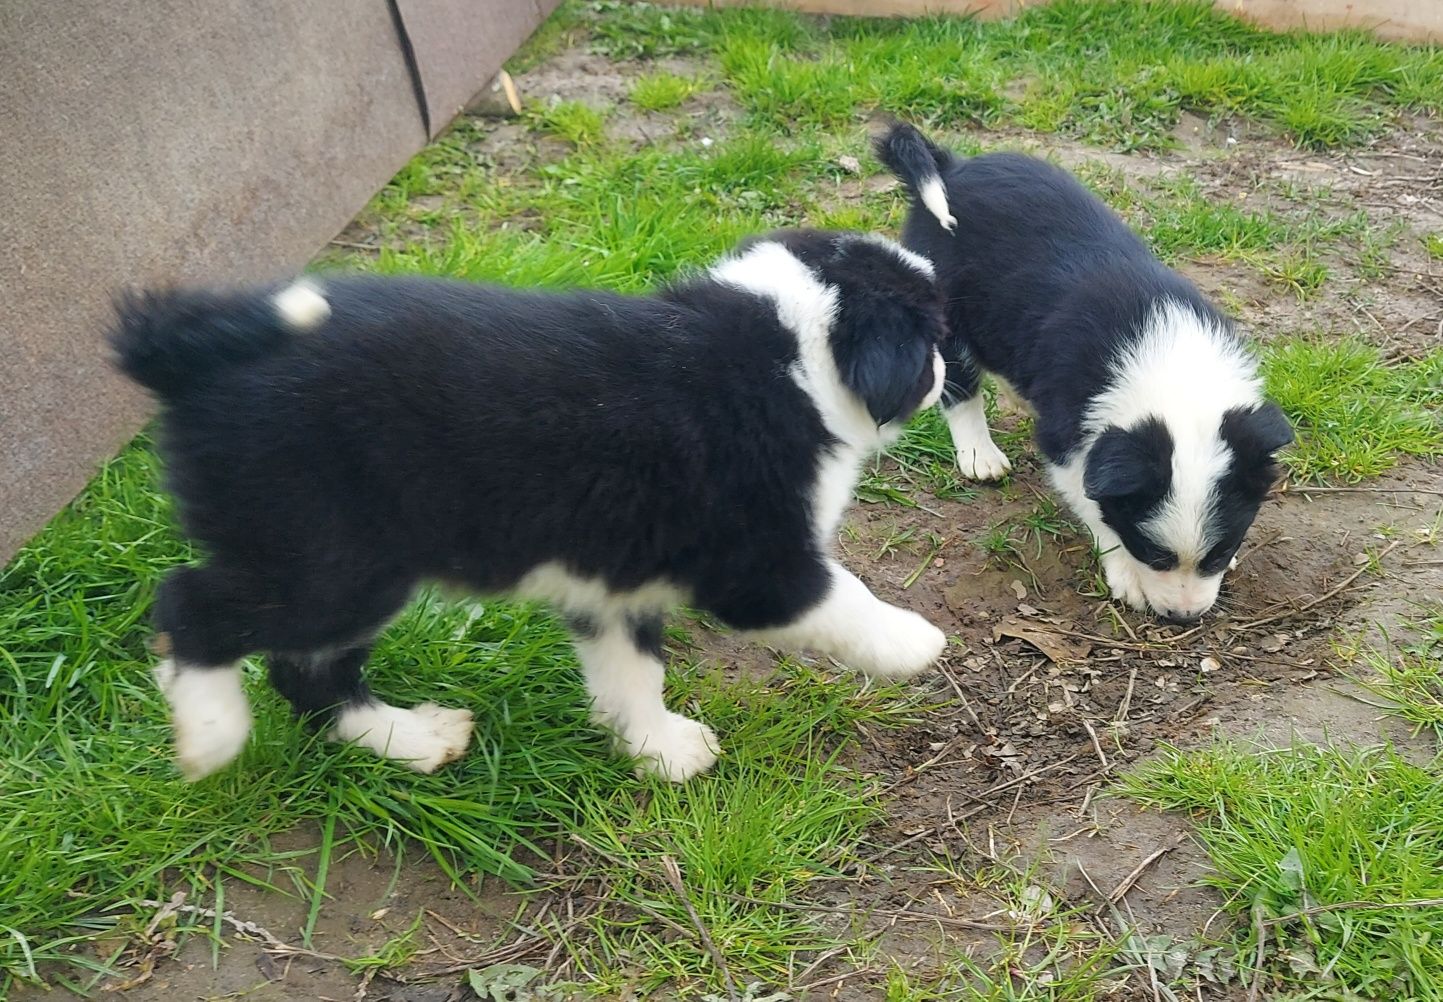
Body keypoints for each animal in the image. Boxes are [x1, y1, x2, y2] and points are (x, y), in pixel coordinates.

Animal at [109, 229, 946, 785]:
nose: (944, 373)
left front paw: (657, 747)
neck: (787, 349)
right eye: (934, 333)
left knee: (304, 673)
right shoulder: (759, 566)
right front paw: (915, 643)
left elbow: (629, 673)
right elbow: (844, 599)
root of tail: (186, 358)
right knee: (193, 606)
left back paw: (411, 738)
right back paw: (210, 734)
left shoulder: (611, 581)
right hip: (329, 561)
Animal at [871, 122, 1292, 623]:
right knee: (960, 386)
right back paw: (980, 455)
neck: (1172, 367)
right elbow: (1096, 508)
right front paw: (1126, 575)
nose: (1184, 617)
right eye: (1153, 554)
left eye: (1220, 552)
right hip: (948, 305)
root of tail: (949, 167)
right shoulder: (1068, 439)